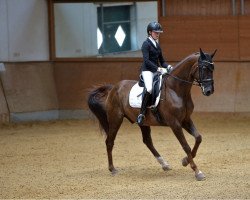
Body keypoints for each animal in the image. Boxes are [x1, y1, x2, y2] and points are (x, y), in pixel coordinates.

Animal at [88, 48, 217, 181]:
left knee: (147, 141)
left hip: (143, 122)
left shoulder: (185, 120)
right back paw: (112, 169)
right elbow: (185, 145)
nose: (209, 91)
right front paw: (197, 171)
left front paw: (185, 161)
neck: (175, 89)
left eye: (212, 68)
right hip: (115, 119)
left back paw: (164, 164)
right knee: (109, 141)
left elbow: (198, 138)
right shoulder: (175, 123)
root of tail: (114, 88)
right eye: (203, 68)